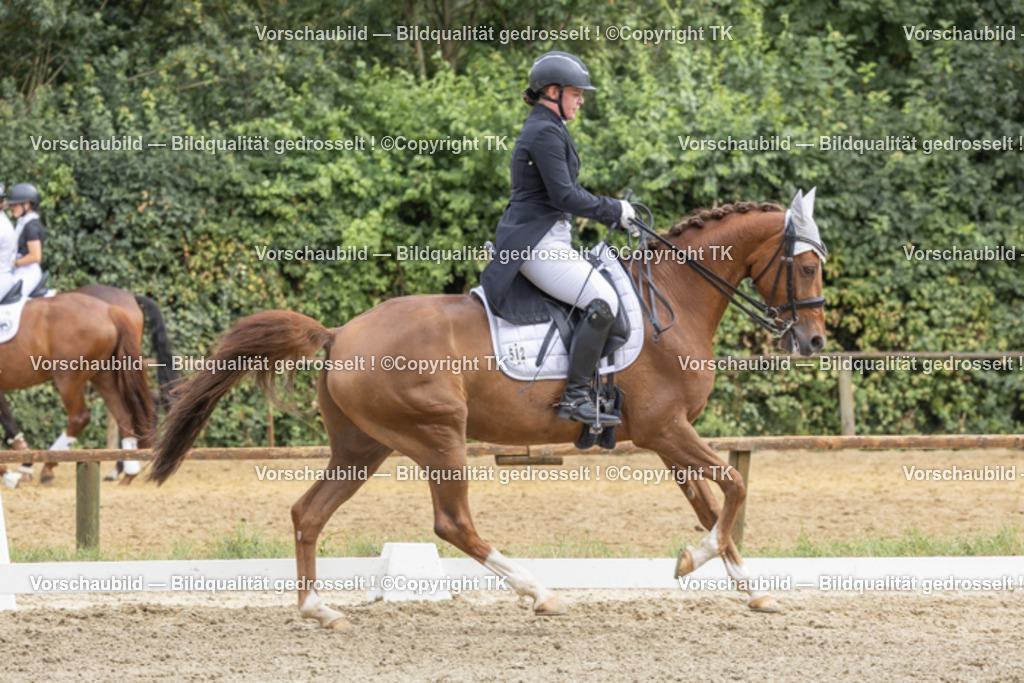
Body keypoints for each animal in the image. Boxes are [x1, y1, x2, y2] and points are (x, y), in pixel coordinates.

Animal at [0, 284, 179, 485]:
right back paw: (131, 467)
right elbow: (7, 418)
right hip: (105, 374)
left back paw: (50, 466)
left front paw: (17, 468)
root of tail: (111, 310)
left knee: (81, 417)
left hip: (69, 378)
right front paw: (22, 465)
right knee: (129, 412)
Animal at [150, 193, 828, 628]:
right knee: (453, 524)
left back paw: (318, 609)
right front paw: (696, 562)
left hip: (363, 446)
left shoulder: (664, 436)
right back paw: (540, 593)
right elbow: (733, 487)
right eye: (805, 265)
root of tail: (339, 333)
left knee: (308, 512)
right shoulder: (667, 428)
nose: (814, 341)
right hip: (438, 435)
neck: (675, 299)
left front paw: (748, 589)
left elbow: (711, 505)